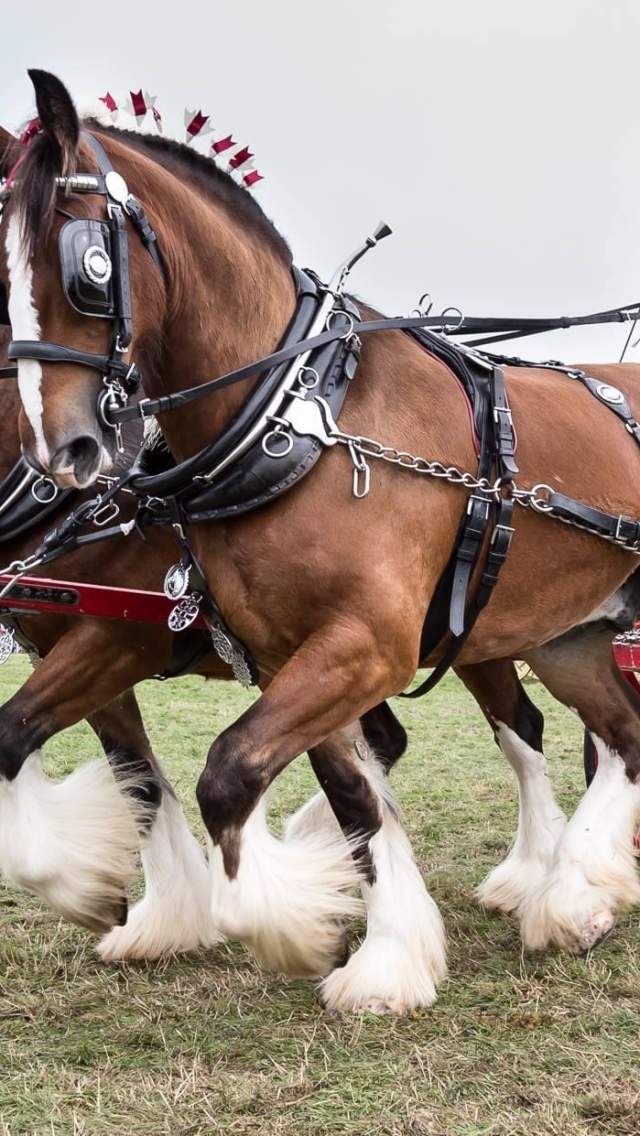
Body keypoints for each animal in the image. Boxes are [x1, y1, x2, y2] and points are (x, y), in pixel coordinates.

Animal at [4, 70, 639, 1014]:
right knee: (618, 733)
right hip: (566, 633)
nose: (67, 450)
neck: (297, 419)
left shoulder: (348, 646)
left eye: (86, 263)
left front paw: (288, 920)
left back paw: (559, 880)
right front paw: (381, 947)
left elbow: (226, 774)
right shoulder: (283, 652)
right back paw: (575, 891)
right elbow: (338, 793)